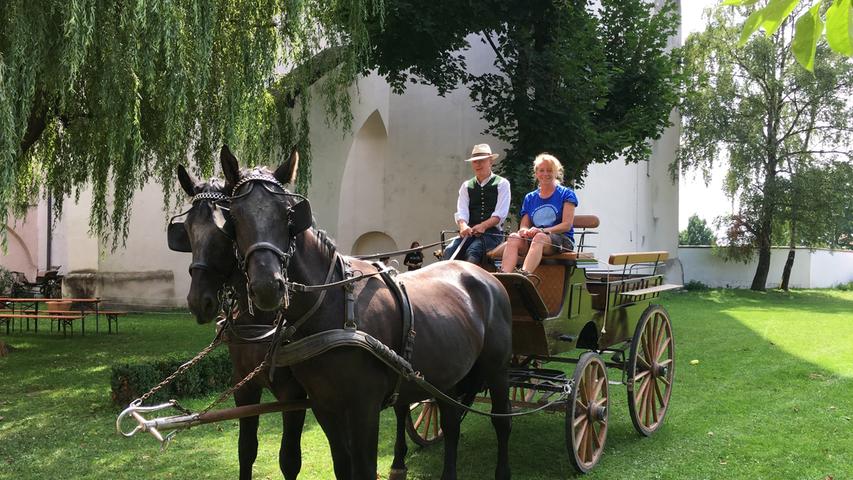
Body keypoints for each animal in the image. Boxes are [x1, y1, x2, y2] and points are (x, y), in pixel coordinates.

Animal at [172, 167, 306, 478]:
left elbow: (289, 459)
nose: (199, 301)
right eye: (187, 230)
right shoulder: (243, 387)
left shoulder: (294, 395)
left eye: (224, 229)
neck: (262, 325)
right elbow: (246, 450)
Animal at [221, 147, 512, 480]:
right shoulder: (324, 405)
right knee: (450, 423)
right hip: (448, 374)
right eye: (233, 217)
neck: (334, 307)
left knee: (502, 421)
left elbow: (364, 467)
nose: (268, 286)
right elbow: (343, 464)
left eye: (288, 214)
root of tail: (487, 277)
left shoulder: (364, 407)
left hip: (498, 369)